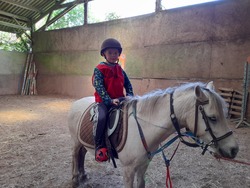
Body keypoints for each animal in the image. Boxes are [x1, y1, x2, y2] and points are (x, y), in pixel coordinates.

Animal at [68, 82, 238, 188]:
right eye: (212, 118)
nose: (234, 149)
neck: (144, 128)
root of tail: (77, 103)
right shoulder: (128, 169)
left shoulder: (143, 164)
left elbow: (141, 184)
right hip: (76, 142)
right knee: (76, 156)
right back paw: (75, 179)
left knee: (82, 154)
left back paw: (83, 175)